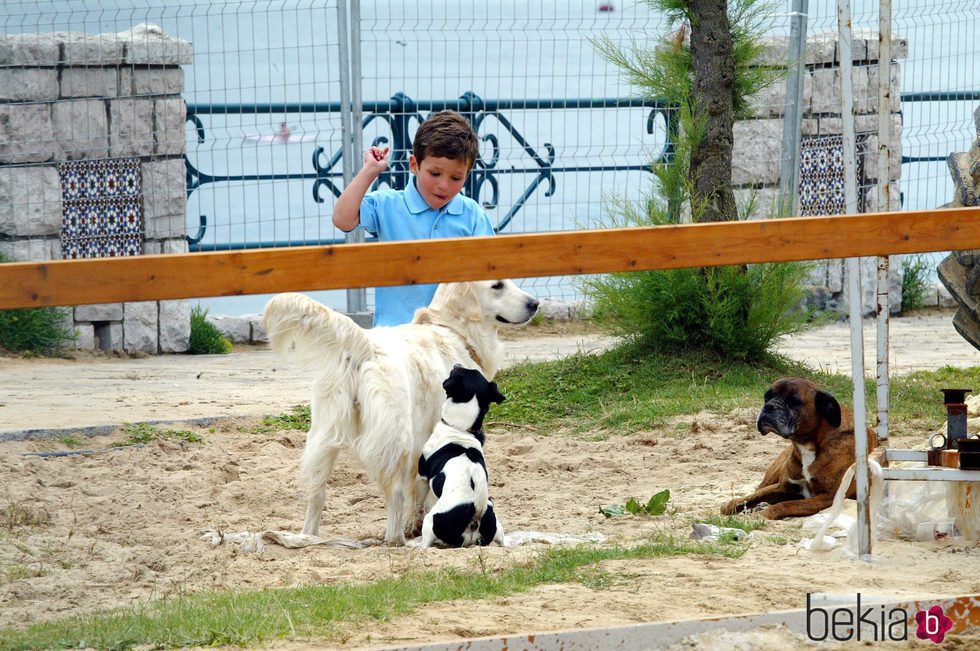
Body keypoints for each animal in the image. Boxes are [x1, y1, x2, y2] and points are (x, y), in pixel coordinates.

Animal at [416, 364, 506, 548]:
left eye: (456, 371)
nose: (456, 364)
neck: (460, 429)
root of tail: (475, 516)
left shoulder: (422, 477)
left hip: (431, 520)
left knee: (426, 544)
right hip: (495, 524)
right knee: (503, 540)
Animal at [720, 376, 880, 520]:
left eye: (793, 401)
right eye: (767, 397)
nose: (769, 406)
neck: (807, 445)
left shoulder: (828, 497)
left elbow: (784, 505)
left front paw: (758, 516)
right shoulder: (782, 486)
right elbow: (750, 497)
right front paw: (731, 506)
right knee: (758, 489)